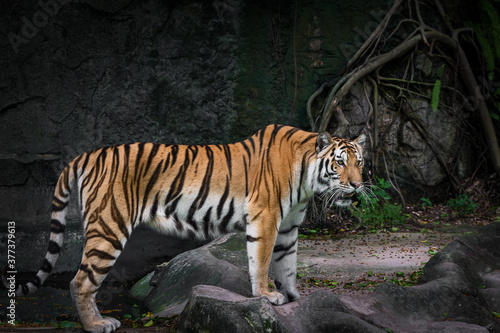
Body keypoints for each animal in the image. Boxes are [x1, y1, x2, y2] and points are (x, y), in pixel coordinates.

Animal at [5, 124, 366, 332]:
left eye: (359, 161)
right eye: (339, 163)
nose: (358, 185)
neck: (307, 179)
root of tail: (87, 155)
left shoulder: (289, 227)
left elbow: (287, 263)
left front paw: (293, 298)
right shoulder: (265, 217)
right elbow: (262, 261)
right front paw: (266, 295)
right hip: (109, 226)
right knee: (80, 281)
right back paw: (96, 325)